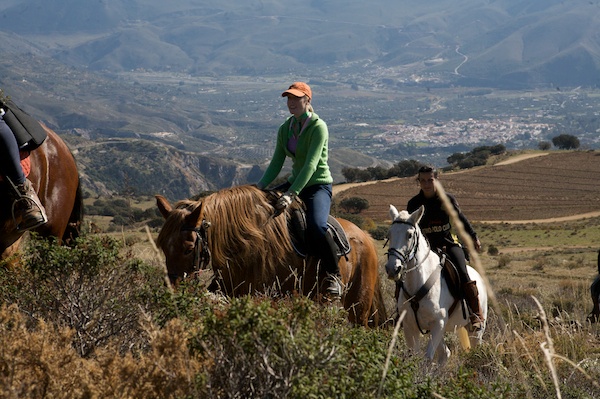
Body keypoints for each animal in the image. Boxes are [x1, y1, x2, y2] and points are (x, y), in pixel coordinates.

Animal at [384, 205, 488, 364]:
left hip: (475, 330)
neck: (418, 282)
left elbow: (427, 358)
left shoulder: (438, 324)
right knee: (445, 353)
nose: (392, 269)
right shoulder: (410, 326)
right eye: (389, 234)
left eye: (409, 235)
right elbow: (413, 356)